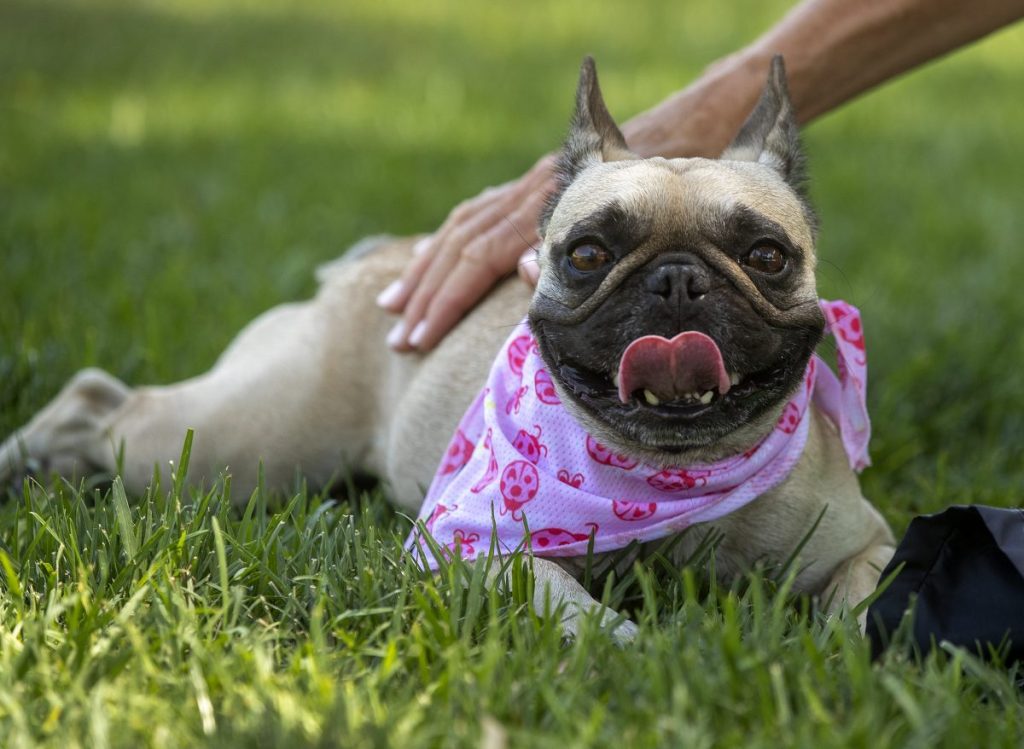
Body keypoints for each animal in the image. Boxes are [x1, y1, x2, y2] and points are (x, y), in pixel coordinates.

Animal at [0, 57, 892, 639]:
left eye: (767, 256)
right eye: (588, 253)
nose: (676, 280)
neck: (665, 477)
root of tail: (383, 258)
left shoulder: (866, 542)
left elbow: (870, 599)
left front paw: (846, 658)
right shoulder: (477, 547)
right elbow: (562, 598)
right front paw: (628, 649)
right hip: (235, 447)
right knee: (104, 403)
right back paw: (27, 461)